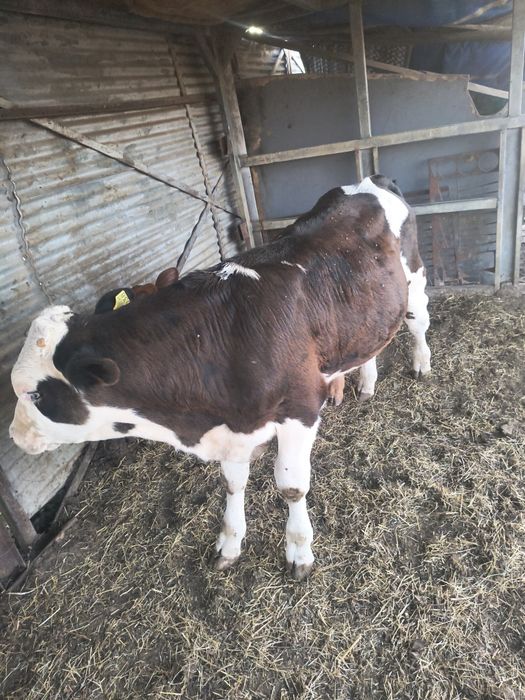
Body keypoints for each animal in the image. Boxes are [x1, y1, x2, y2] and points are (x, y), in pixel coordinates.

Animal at [9, 175, 430, 580]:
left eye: (35, 395)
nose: (14, 436)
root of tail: (369, 180)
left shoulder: (300, 410)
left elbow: (292, 487)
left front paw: (299, 551)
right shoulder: (233, 427)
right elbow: (232, 482)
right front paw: (229, 543)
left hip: (415, 282)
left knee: (417, 323)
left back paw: (421, 364)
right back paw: (368, 384)